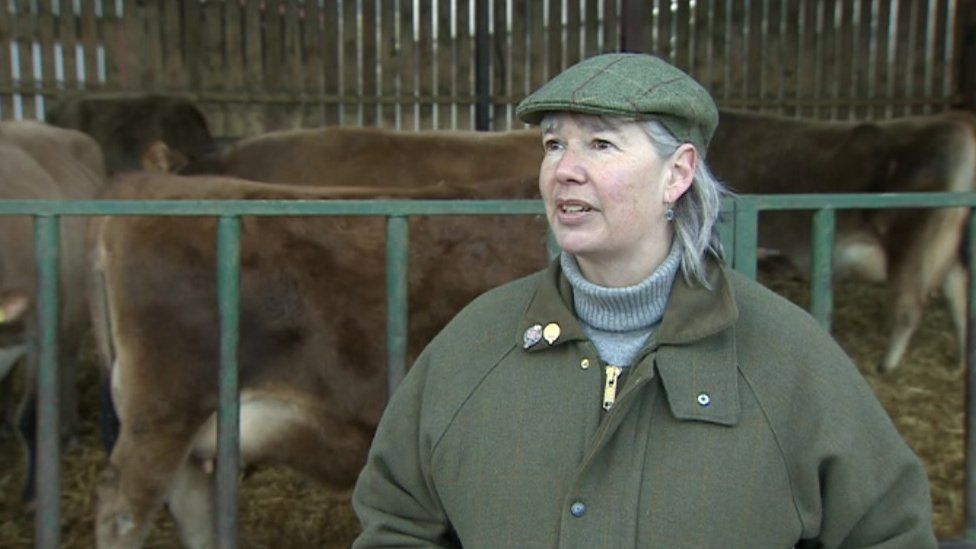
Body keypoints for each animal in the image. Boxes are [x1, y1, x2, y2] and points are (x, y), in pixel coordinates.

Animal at [708, 108, 976, 370]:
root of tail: (954, 121)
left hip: (909, 243)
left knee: (908, 308)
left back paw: (886, 364)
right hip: (948, 251)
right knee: (959, 301)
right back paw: (961, 362)